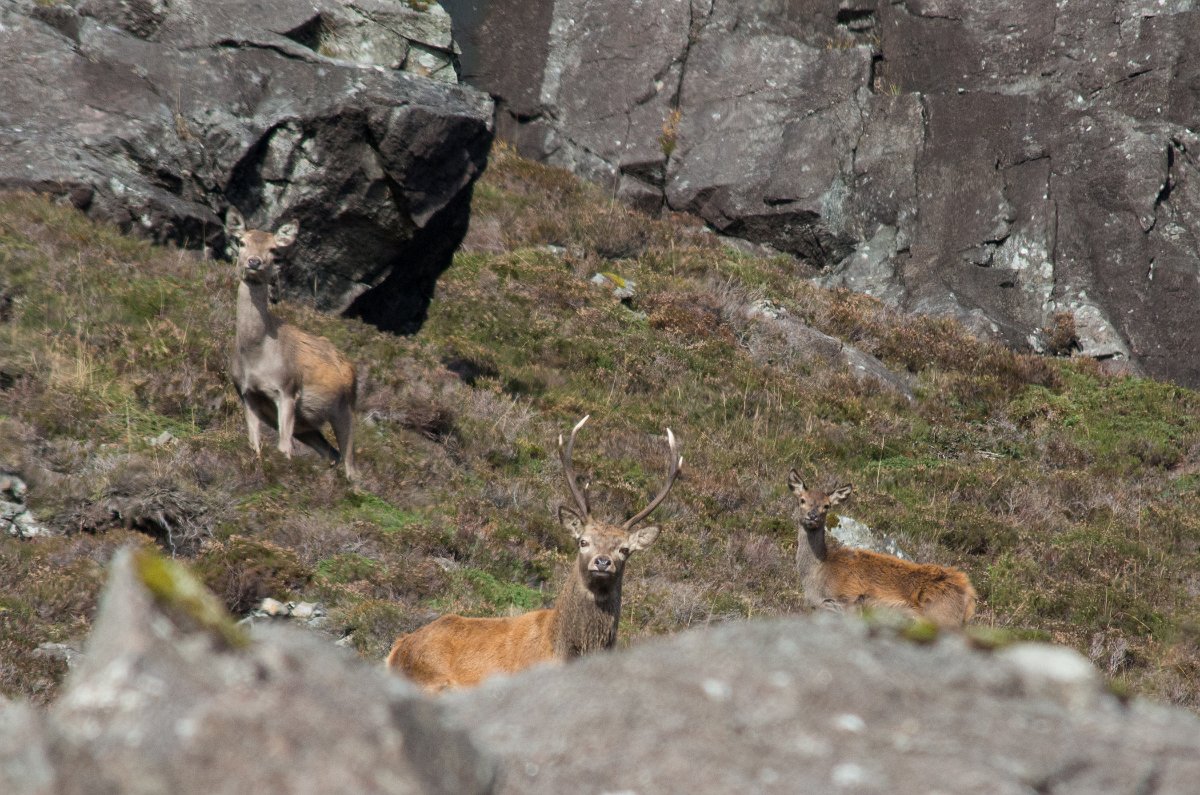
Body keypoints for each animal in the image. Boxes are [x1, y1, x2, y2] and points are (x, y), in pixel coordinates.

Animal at [226, 207, 358, 480]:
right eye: (241, 242)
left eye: (274, 250)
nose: (254, 262)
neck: (256, 353)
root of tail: (351, 367)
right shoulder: (247, 394)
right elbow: (254, 444)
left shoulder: (287, 389)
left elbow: (284, 448)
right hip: (306, 425)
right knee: (332, 454)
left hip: (345, 407)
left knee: (351, 464)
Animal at [788, 470, 976, 627]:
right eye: (802, 500)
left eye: (827, 505)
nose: (812, 516)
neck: (818, 574)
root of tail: (969, 595)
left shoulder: (849, 600)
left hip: (942, 617)